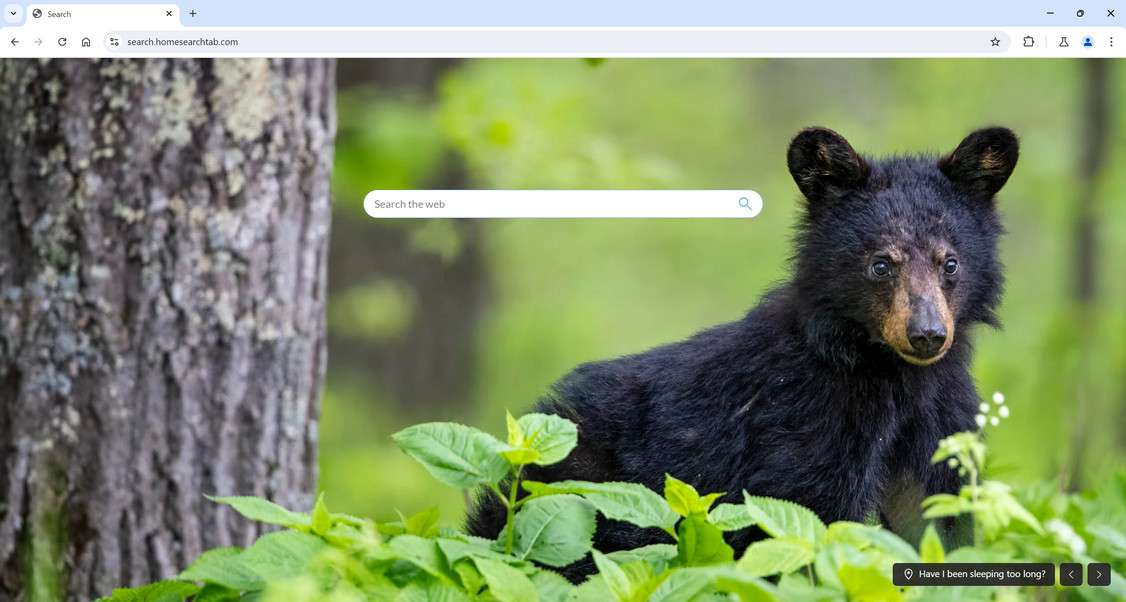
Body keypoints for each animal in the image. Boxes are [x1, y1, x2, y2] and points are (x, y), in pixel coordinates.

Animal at [467, 126, 1018, 581]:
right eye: (881, 264)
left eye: (950, 262)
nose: (927, 334)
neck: (891, 374)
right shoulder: (804, 425)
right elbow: (801, 526)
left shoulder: (941, 418)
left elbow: (935, 521)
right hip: (573, 492)